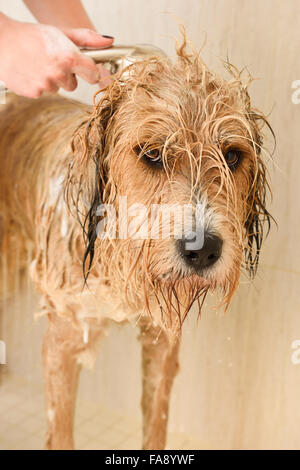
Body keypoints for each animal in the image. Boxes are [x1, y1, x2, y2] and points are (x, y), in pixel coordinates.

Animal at [0, 38, 272, 450]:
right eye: (152, 154)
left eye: (232, 156)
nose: (202, 250)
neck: (116, 259)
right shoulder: (63, 341)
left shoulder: (160, 339)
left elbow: (155, 424)